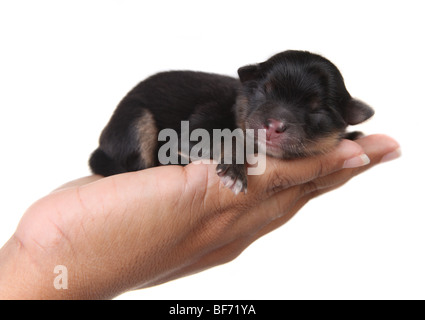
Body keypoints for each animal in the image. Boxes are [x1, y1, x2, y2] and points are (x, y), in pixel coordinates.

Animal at [88, 51, 372, 194]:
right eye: (264, 91)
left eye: (318, 111)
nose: (274, 126)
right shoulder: (196, 128)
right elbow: (229, 138)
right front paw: (235, 171)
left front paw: (351, 135)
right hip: (137, 120)